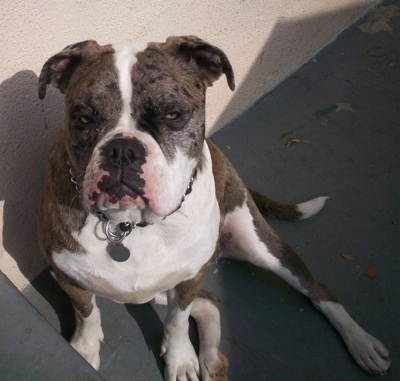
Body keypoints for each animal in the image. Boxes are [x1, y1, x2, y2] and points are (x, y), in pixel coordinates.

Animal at [38, 35, 390, 378]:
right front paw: (83, 352)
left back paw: (361, 342)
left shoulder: (190, 277)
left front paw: (180, 358)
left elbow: (177, 321)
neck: (130, 225)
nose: (123, 149)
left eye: (173, 115)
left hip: (261, 245)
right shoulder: (67, 277)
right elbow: (87, 315)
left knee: (317, 291)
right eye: (84, 118)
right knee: (210, 303)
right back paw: (210, 359)